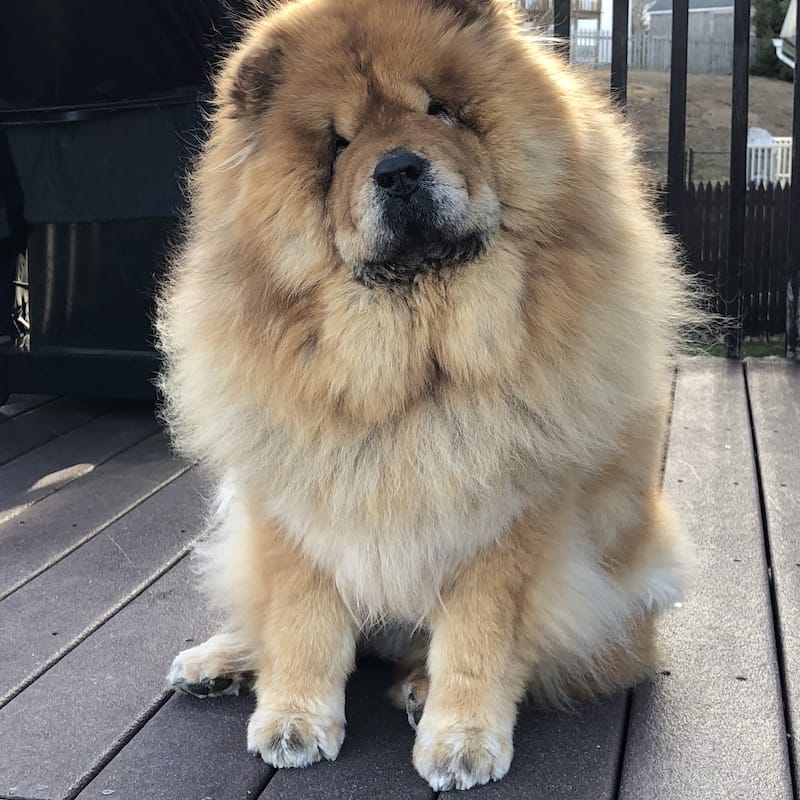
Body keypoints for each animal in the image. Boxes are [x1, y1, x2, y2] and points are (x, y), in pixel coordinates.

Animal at [156, 0, 692, 788]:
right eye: (339, 143)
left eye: (439, 109)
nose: (399, 168)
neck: (409, 366)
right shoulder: (292, 505)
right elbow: (302, 622)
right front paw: (293, 719)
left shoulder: (508, 522)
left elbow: (478, 639)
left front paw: (460, 736)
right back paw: (218, 661)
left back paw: (416, 685)